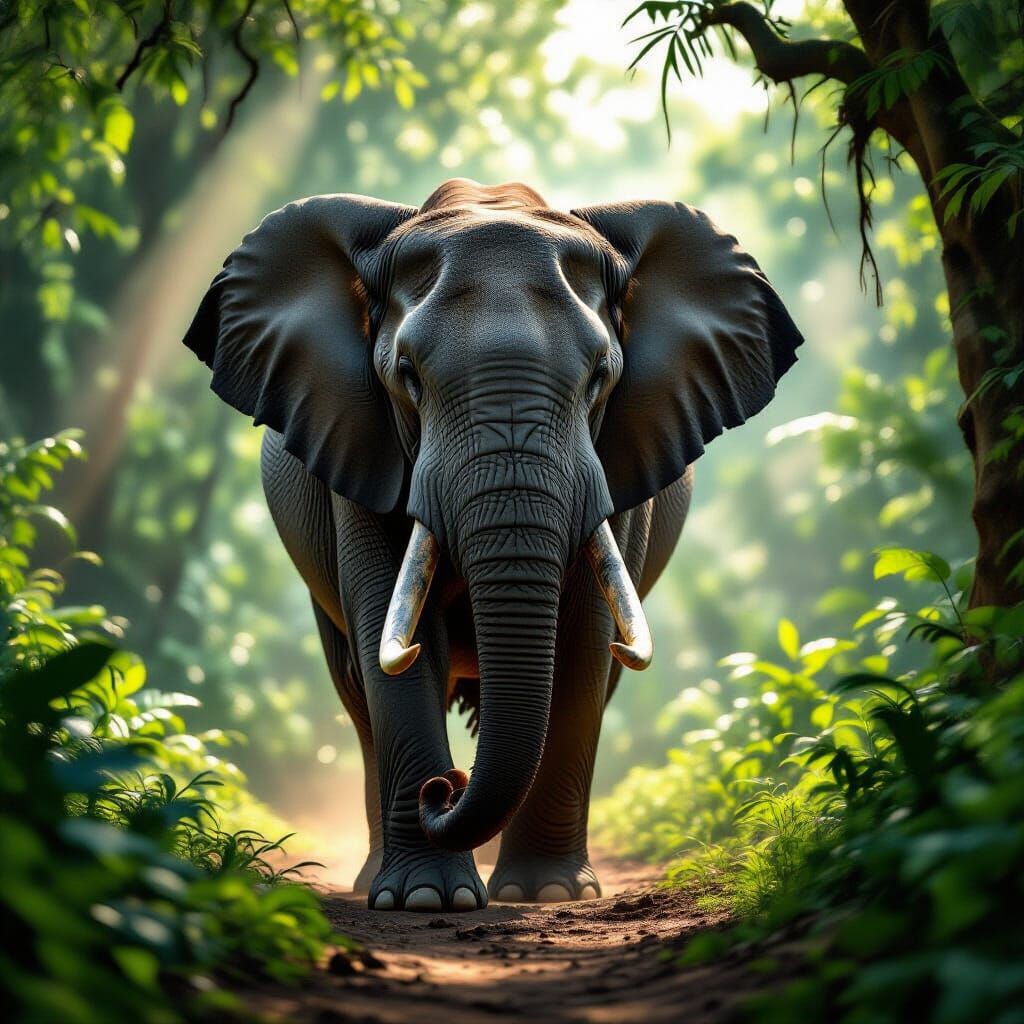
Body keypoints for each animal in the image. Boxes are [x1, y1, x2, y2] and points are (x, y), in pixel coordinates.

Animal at [183, 178, 802, 912]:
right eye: (407, 375)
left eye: (600, 376)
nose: (442, 790)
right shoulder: (358, 449)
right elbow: (391, 639)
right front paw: (426, 900)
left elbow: (582, 648)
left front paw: (546, 894)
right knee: (357, 690)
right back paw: (375, 878)